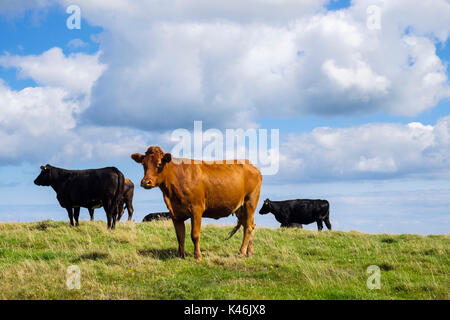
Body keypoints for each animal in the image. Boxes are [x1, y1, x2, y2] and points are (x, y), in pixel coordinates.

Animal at [130, 146, 262, 260]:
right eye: (144, 164)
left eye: (159, 164)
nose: (146, 182)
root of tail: (251, 165)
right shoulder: (175, 213)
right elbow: (180, 236)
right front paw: (180, 256)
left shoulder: (196, 209)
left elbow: (195, 235)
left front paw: (197, 256)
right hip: (240, 208)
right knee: (250, 225)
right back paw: (249, 253)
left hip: (250, 202)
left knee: (248, 227)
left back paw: (241, 252)